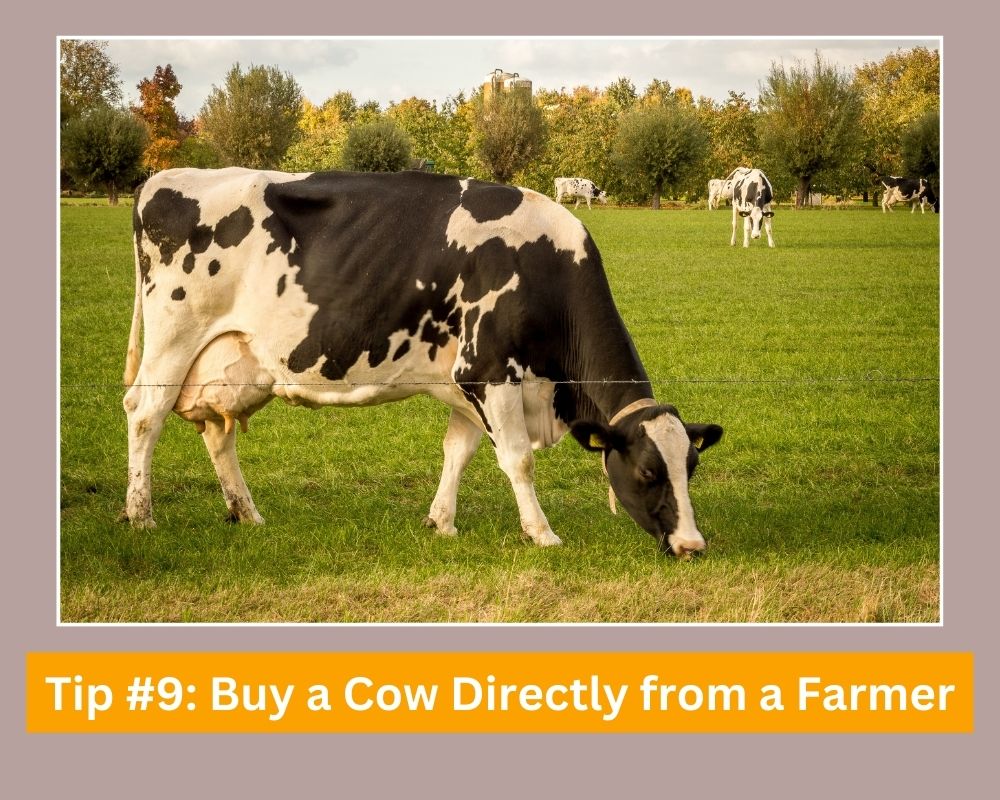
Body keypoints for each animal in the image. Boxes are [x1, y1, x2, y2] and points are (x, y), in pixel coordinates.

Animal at [123, 169, 728, 556]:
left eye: (691, 467)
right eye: (648, 472)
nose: (692, 545)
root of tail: (160, 179)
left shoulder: (466, 386)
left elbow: (458, 451)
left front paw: (441, 523)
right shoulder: (490, 371)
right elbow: (517, 460)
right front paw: (542, 533)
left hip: (232, 359)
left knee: (217, 432)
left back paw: (246, 513)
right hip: (173, 338)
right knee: (145, 414)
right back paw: (141, 516)